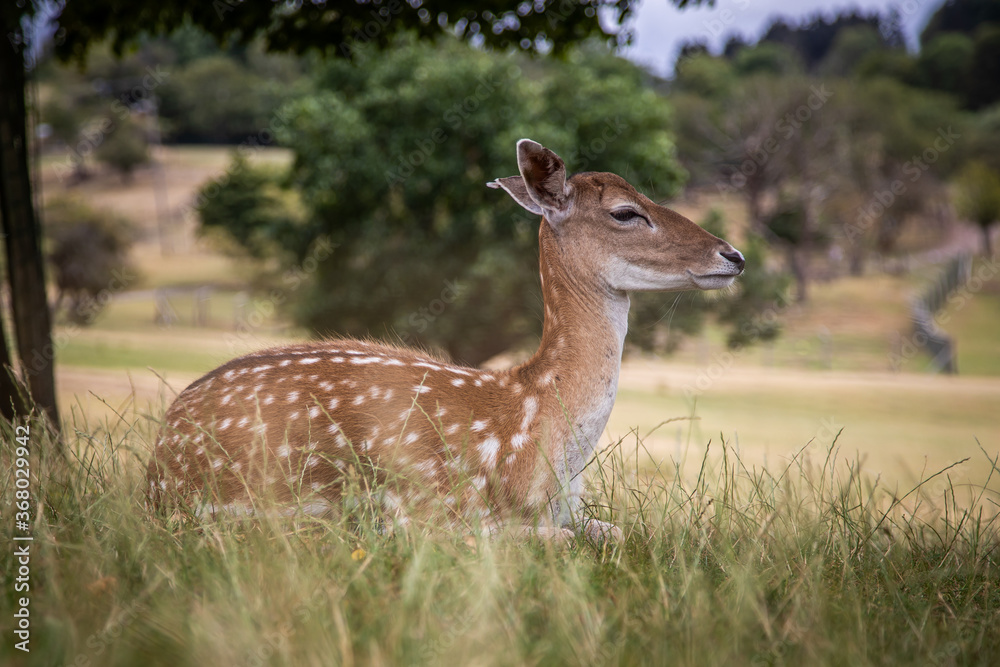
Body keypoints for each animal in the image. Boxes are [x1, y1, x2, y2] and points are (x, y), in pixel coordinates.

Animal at [147, 139, 745, 542]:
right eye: (625, 212)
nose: (733, 255)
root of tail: (157, 470)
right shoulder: (433, 513)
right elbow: (556, 542)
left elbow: (612, 532)